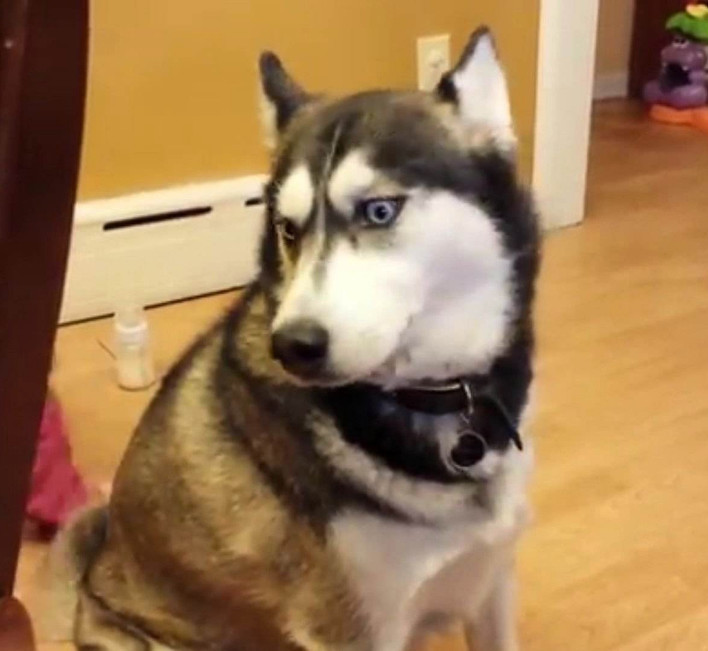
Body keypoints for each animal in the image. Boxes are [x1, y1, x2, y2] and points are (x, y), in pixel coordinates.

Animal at [51, 25, 540, 651]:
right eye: (288, 228)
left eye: (379, 210)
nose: (293, 346)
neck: (440, 399)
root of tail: (87, 593)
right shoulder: (352, 630)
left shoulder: (491, 581)